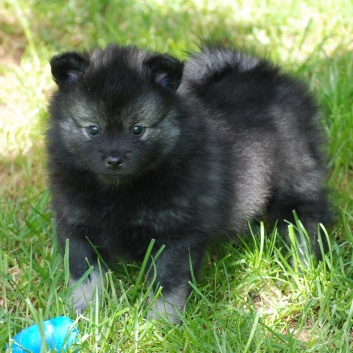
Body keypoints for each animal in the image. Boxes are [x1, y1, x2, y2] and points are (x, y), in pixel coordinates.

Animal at [46, 43, 330, 322]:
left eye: (137, 129)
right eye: (93, 129)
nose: (114, 160)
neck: (120, 190)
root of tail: (262, 73)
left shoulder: (176, 233)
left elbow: (167, 282)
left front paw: (160, 322)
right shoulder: (77, 225)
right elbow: (84, 274)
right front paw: (83, 312)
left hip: (293, 175)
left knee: (304, 216)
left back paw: (304, 261)